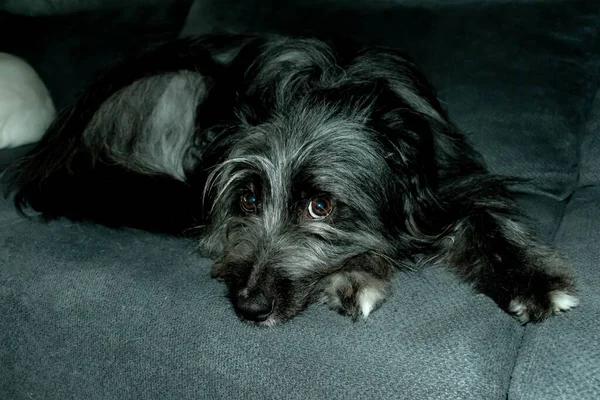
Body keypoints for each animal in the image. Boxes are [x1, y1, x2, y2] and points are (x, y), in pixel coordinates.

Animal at [2, 34, 580, 324]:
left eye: (320, 206)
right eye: (248, 200)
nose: (250, 309)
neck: (324, 87)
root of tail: (58, 146)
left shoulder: (448, 180)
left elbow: (488, 219)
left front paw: (533, 281)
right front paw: (352, 276)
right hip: (182, 80)